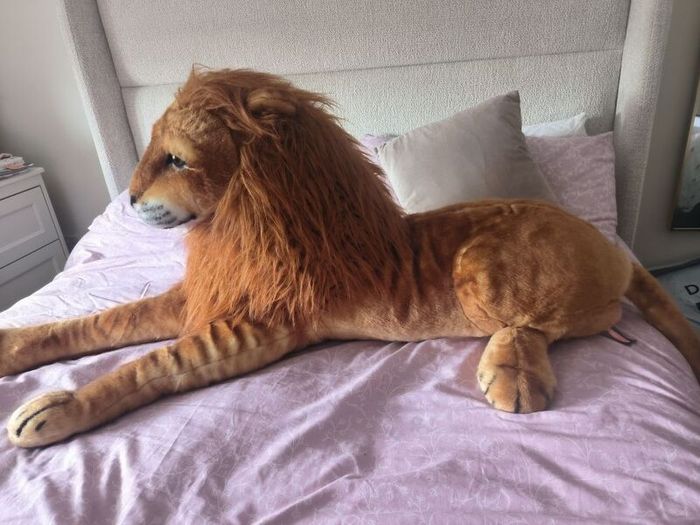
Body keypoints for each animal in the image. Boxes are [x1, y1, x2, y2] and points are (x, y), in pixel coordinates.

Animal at [3, 69, 699, 448]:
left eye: (175, 159)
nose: (129, 199)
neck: (238, 223)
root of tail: (608, 244)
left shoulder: (262, 325)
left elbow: (153, 364)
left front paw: (54, 411)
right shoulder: (203, 296)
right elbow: (107, 320)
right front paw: (14, 346)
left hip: (481, 270)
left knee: (554, 323)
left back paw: (512, 378)